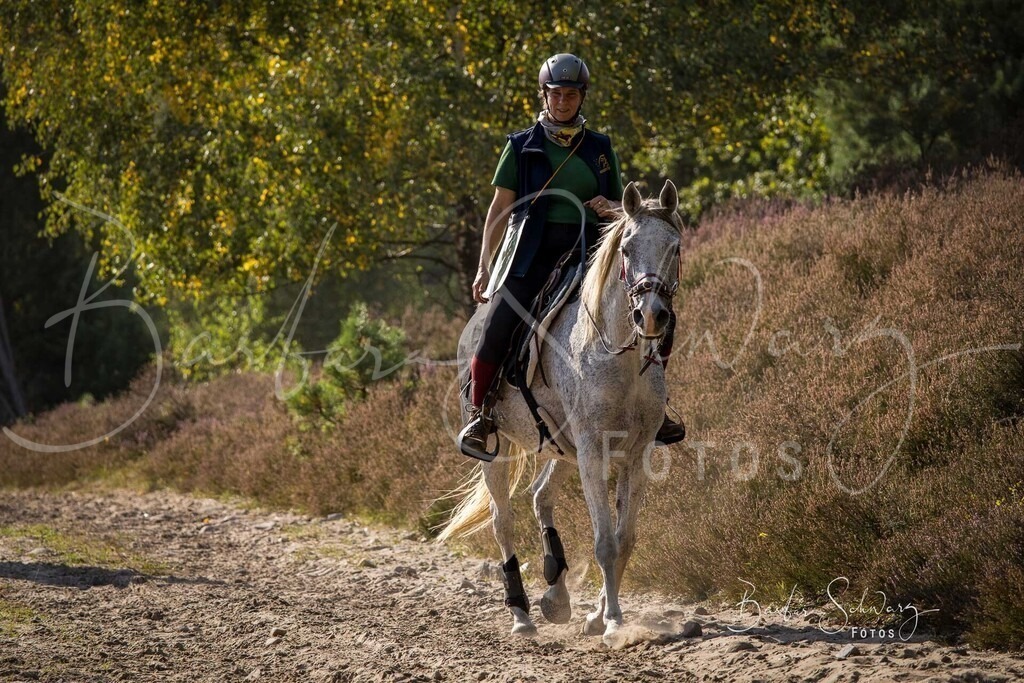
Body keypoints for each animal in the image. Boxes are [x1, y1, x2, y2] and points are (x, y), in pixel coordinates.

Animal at [437, 180, 684, 645]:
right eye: (627, 249)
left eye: (674, 247)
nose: (652, 315)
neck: (618, 355)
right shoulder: (592, 451)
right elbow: (605, 541)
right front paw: (614, 623)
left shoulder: (635, 453)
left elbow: (624, 538)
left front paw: (598, 615)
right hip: (498, 450)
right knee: (502, 521)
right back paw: (521, 613)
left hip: (561, 449)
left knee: (540, 496)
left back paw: (556, 593)